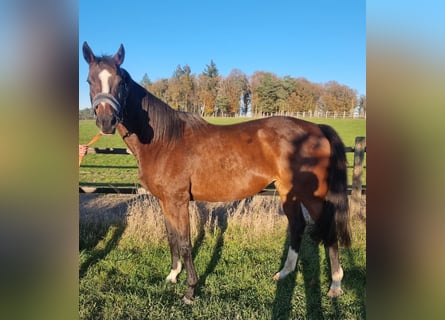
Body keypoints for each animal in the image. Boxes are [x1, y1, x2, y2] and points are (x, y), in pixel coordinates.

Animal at [80, 41, 350, 304]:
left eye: (121, 82)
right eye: (89, 80)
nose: (106, 121)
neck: (164, 140)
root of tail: (317, 127)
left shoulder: (178, 201)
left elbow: (185, 242)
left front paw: (190, 291)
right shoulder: (165, 201)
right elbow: (171, 237)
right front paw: (172, 275)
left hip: (312, 196)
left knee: (328, 230)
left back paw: (336, 285)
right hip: (287, 191)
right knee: (297, 225)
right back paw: (284, 273)